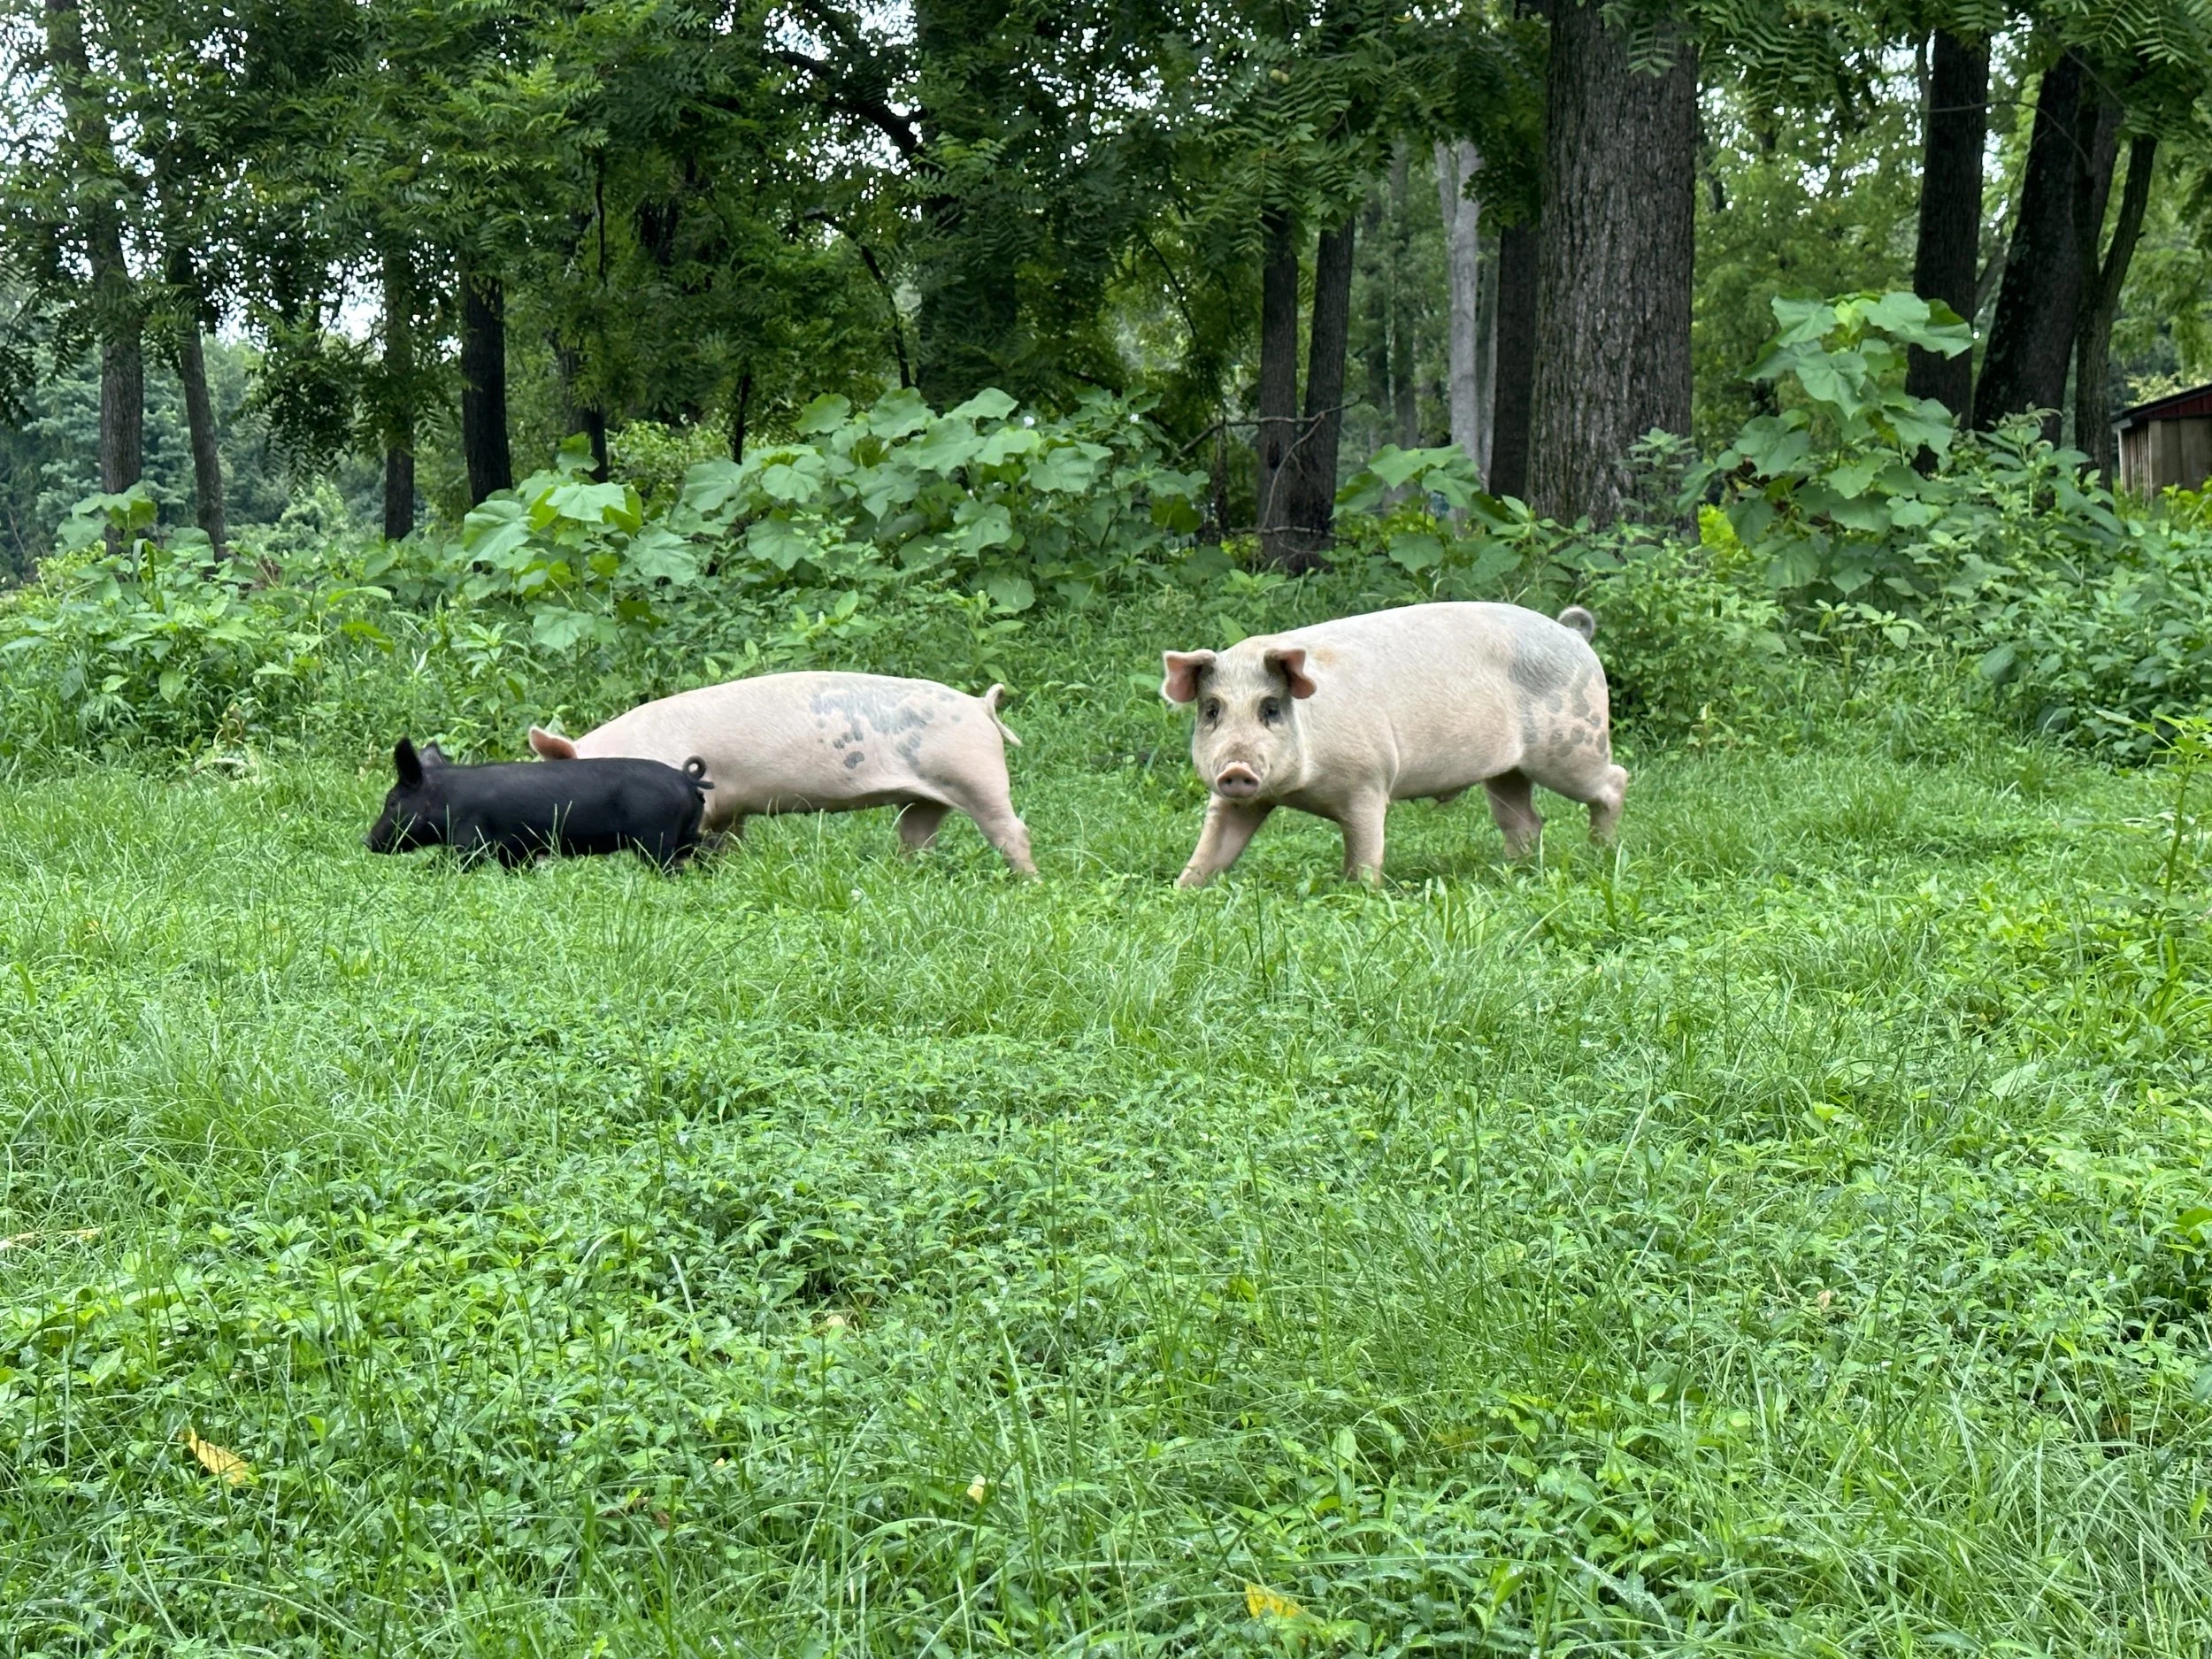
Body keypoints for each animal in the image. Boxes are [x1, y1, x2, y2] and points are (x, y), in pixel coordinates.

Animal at [364, 737, 712, 869]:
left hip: (655, 840)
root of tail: (687, 780)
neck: (448, 801)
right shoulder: (515, 852)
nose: (366, 841)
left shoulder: (470, 843)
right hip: (684, 835)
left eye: (392, 801)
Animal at [525, 672, 1035, 875]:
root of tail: (980, 705)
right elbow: (729, 842)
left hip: (975, 772)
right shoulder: (728, 808)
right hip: (925, 797)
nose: (541, 856)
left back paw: (1028, 884)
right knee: (918, 837)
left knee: (1011, 829)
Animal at [1160, 601, 1627, 885]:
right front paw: (1183, 888)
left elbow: (1365, 851)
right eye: (1213, 711)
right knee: (1525, 820)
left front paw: (1360, 892)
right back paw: (1515, 870)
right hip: (1507, 770)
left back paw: (1600, 853)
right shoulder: (1238, 800)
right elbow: (1212, 848)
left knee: (1614, 781)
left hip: (1571, 746)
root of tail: (1574, 635)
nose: (1236, 769)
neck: (1299, 790)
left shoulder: (1368, 783)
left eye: (1271, 709)